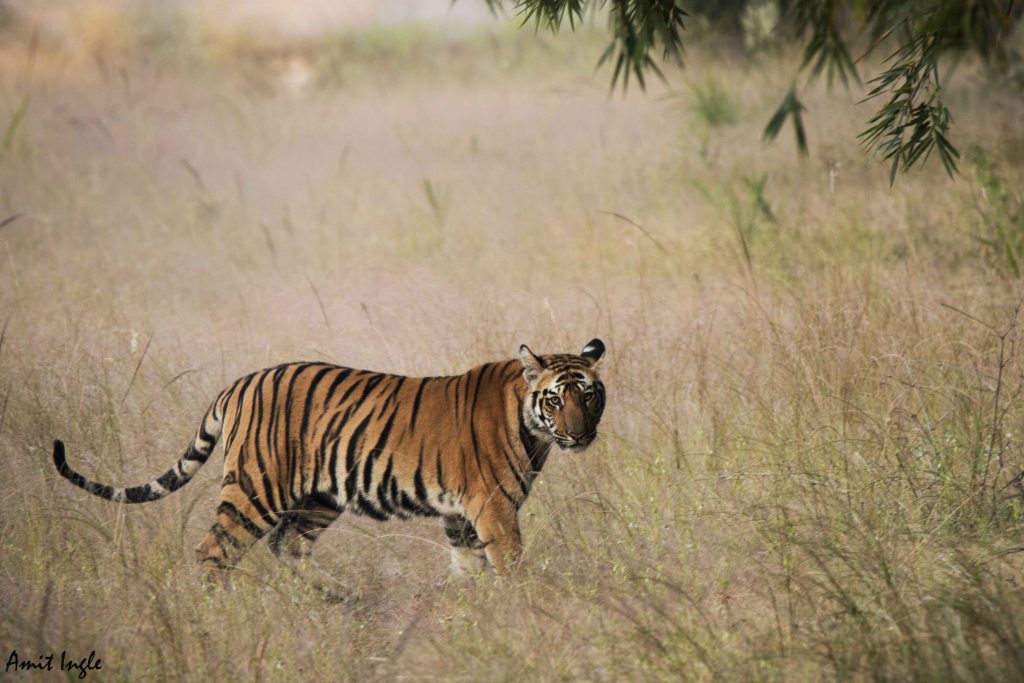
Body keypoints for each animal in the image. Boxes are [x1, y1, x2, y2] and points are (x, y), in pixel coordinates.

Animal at [52, 339, 606, 578]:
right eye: (555, 399)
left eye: (589, 394)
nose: (580, 433)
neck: (533, 427)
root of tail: (237, 383)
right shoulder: (493, 507)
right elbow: (510, 567)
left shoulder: (459, 516)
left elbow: (468, 571)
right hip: (255, 488)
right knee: (213, 551)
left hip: (318, 498)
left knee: (287, 549)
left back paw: (327, 603)